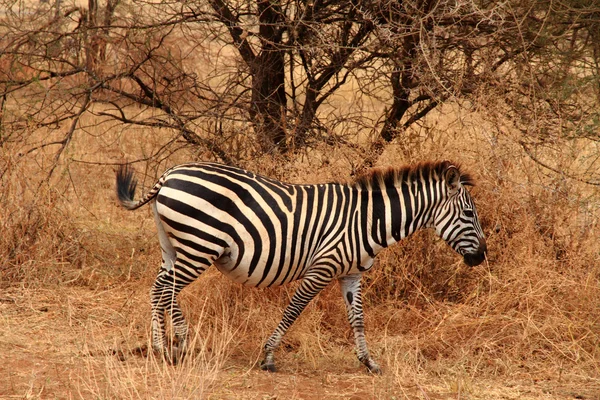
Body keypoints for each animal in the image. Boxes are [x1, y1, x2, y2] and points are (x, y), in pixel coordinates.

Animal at [116, 160, 488, 376]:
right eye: (470, 214)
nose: (482, 257)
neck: (369, 221)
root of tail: (169, 174)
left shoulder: (351, 274)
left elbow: (358, 319)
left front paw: (368, 362)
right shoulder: (323, 266)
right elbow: (294, 309)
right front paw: (268, 357)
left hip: (174, 246)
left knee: (161, 288)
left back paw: (166, 345)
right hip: (199, 245)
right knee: (165, 290)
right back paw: (173, 345)